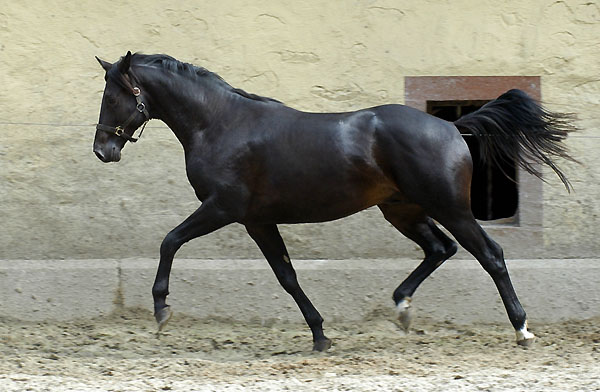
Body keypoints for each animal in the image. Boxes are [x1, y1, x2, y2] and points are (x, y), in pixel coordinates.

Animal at [94, 52, 576, 352]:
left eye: (113, 96)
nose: (103, 151)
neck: (221, 124)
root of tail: (453, 127)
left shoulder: (223, 209)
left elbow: (170, 241)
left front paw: (161, 310)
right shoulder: (257, 221)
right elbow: (287, 277)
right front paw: (320, 335)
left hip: (450, 207)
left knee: (489, 254)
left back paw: (522, 330)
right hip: (402, 209)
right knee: (441, 248)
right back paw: (402, 309)